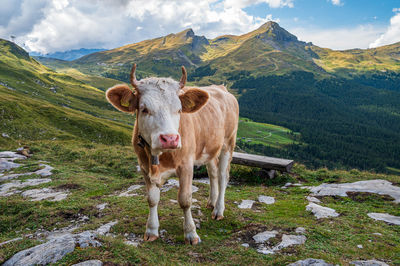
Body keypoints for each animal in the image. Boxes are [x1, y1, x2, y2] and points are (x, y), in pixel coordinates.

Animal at [104, 64, 239, 245]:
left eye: (179, 109)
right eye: (144, 109)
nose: (170, 138)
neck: (160, 157)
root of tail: (221, 88)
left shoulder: (186, 165)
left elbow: (185, 199)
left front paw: (191, 233)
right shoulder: (144, 167)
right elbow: (152, 198)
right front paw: (151, 230)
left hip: (228, 143)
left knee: (223, 175)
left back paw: (218, 210)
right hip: (209, 147)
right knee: (213, 173)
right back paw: (211, 202)